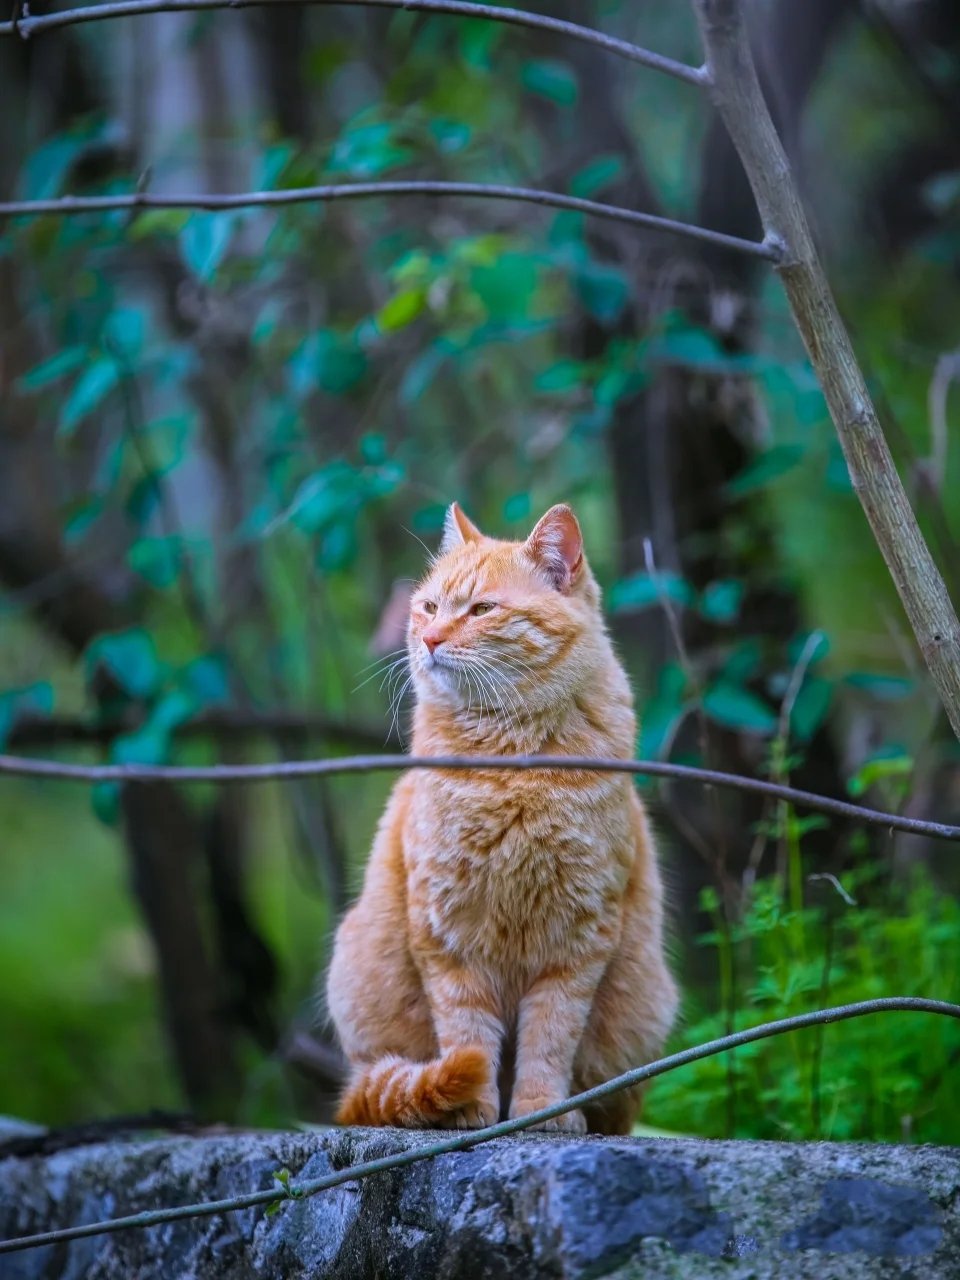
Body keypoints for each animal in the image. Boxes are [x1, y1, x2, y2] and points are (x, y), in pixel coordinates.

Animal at [327, 499, 680, 1131]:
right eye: (429, 607)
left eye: (482, 610)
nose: (430, 638)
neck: (509, 765)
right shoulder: (446, 934)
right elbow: (467, 1034)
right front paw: (473, 1106)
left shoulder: (578, 939)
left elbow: (550, 1037)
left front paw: (541, 1110)